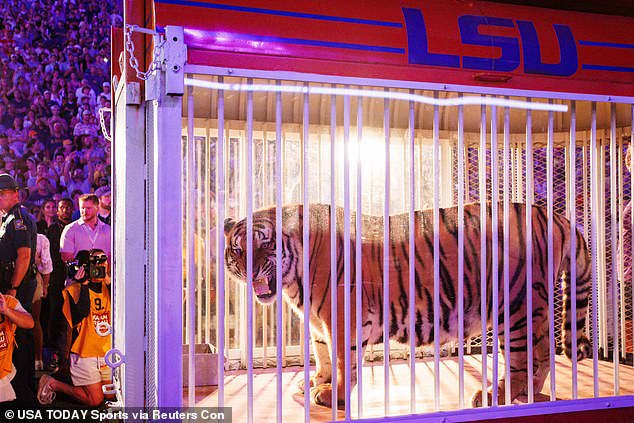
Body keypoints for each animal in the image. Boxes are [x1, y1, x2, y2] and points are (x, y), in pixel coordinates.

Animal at [225, 204, 592, 410]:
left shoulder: (341, 317)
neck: (292, 280)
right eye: (238, 249)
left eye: (265, 245)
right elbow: (322, 352)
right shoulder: (317, 322)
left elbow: (343, 359)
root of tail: (557, 216)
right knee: (542, 353)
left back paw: (495, 395)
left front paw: (334, 395)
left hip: (515, 307)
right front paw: (316, 381)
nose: (251, 269)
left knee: (526, 357)